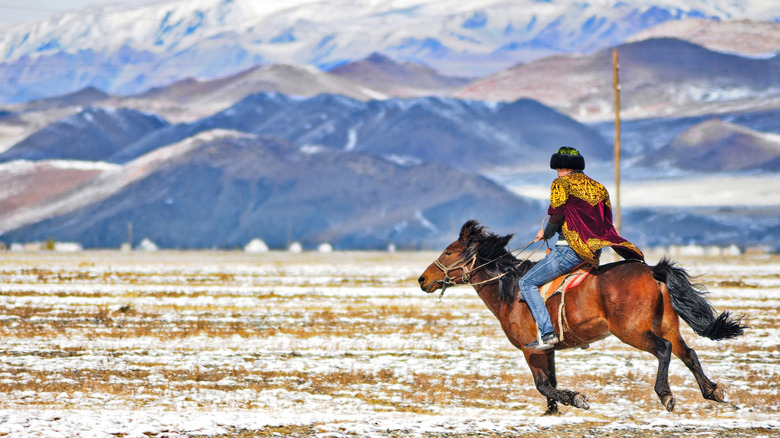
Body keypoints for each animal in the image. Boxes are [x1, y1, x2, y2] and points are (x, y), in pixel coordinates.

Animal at [418, 221, 748, 416]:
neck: (510, 291)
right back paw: (713, 391)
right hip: (665, 325)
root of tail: (653, 271)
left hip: (632, 331)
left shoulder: (530, 348)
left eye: (449, 252)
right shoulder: (547, 349)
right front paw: (552, 411)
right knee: (688, 352)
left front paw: (575, 398)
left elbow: (542, 384)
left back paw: (666, 394)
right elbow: (550, 381)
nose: (423, 279)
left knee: (664, 350)